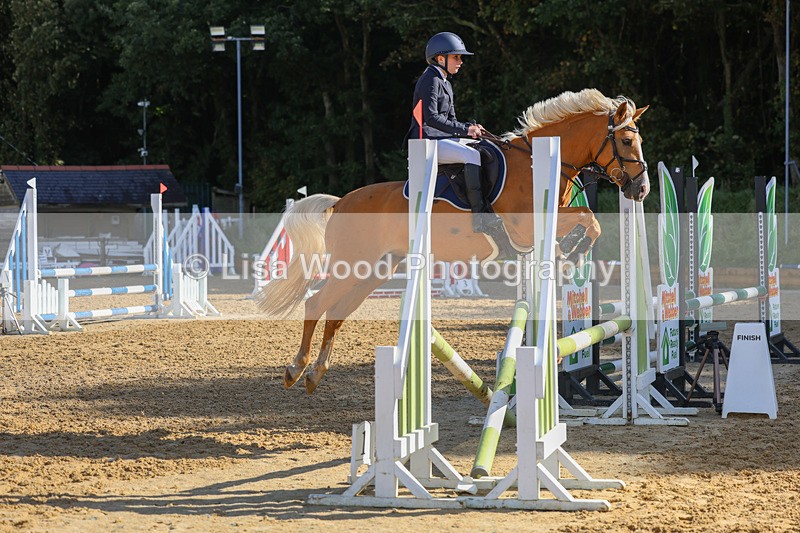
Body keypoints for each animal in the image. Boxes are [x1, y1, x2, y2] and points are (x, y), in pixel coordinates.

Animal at [256, 88, 650, 394]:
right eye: (627, 141)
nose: (642, 189)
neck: (534, 164)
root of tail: (340, 202)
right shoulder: (525, 227)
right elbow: (589, 217)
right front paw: (574, 250)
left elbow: (589, 220)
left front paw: (572, 250)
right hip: (352, 266)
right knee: (315, 303)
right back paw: (296, 369)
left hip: (373, 272)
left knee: (335, 313)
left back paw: (315, 374)